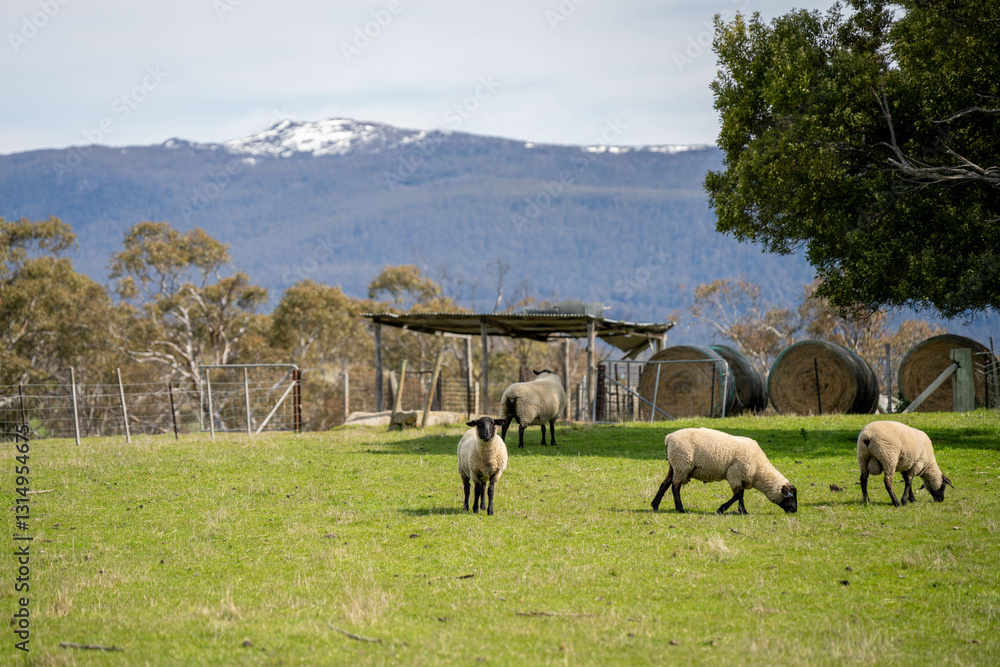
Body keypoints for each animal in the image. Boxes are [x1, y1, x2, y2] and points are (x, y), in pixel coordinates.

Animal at [651, 427, 798, 515]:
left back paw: (655, 505)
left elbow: (741, 495)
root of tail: (669, 437)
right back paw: (680, 509)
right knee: (675, 487)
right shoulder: (734, 475)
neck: (759, 471)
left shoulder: (741, 478)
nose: (794, 510)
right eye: (791, 496)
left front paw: (743, 511)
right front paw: (721, 509)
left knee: (665, 484)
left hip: (674, 465)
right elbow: (738, 494)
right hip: (682, 464)